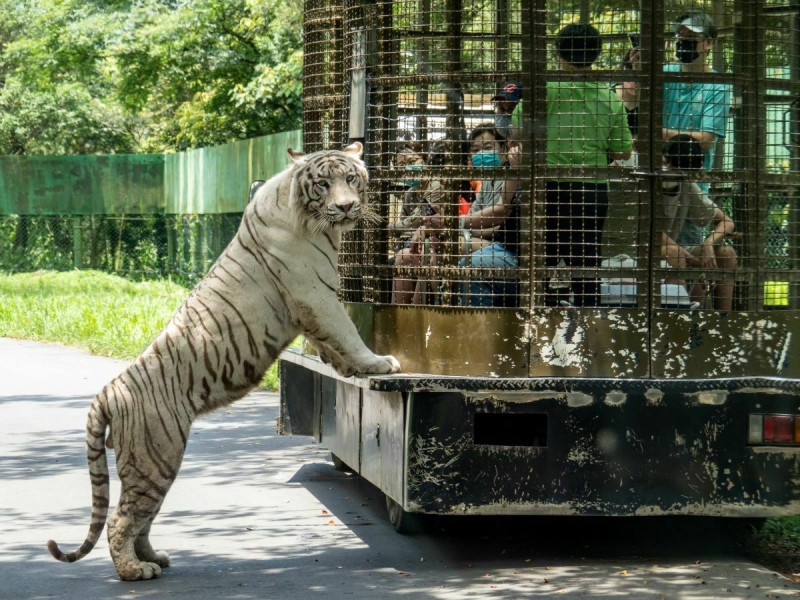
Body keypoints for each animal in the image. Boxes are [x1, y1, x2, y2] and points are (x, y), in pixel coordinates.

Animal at [47, 142, 400, 580]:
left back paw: (154, 558)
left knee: (142, 517)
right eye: (323, 184)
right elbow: (347, 333)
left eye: (351, 178)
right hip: (156, 456)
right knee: (121, 519)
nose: (347, 206)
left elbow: (332, 345)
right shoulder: (315, 295)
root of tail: (108, 391)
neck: (307, 214)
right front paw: (379, 363)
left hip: (157, 464)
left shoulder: (313, 307)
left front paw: (349, 369)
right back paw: (134, 570)